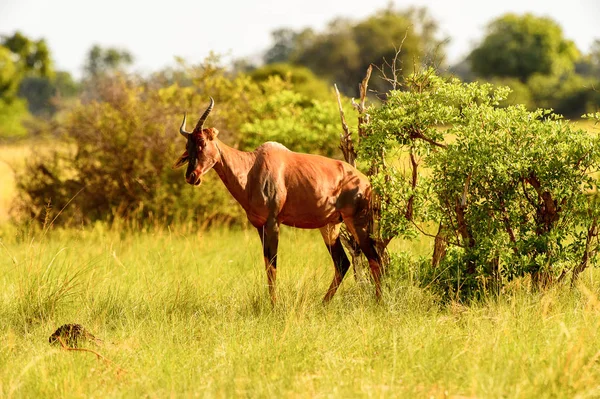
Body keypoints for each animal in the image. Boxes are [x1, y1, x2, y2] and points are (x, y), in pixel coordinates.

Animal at [171, 97, 382, 304]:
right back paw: (323, 304)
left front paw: (274, 306)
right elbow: (267, 265)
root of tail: (366, 182)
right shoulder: (259, 225)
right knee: (342, 262)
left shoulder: (273, 223)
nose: (192, 176)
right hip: (330, 225)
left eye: (202, 142)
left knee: (375, 258)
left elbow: (272, 266)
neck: (251, 167)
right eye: (188, 146)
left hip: (357, 222)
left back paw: (379, 302)